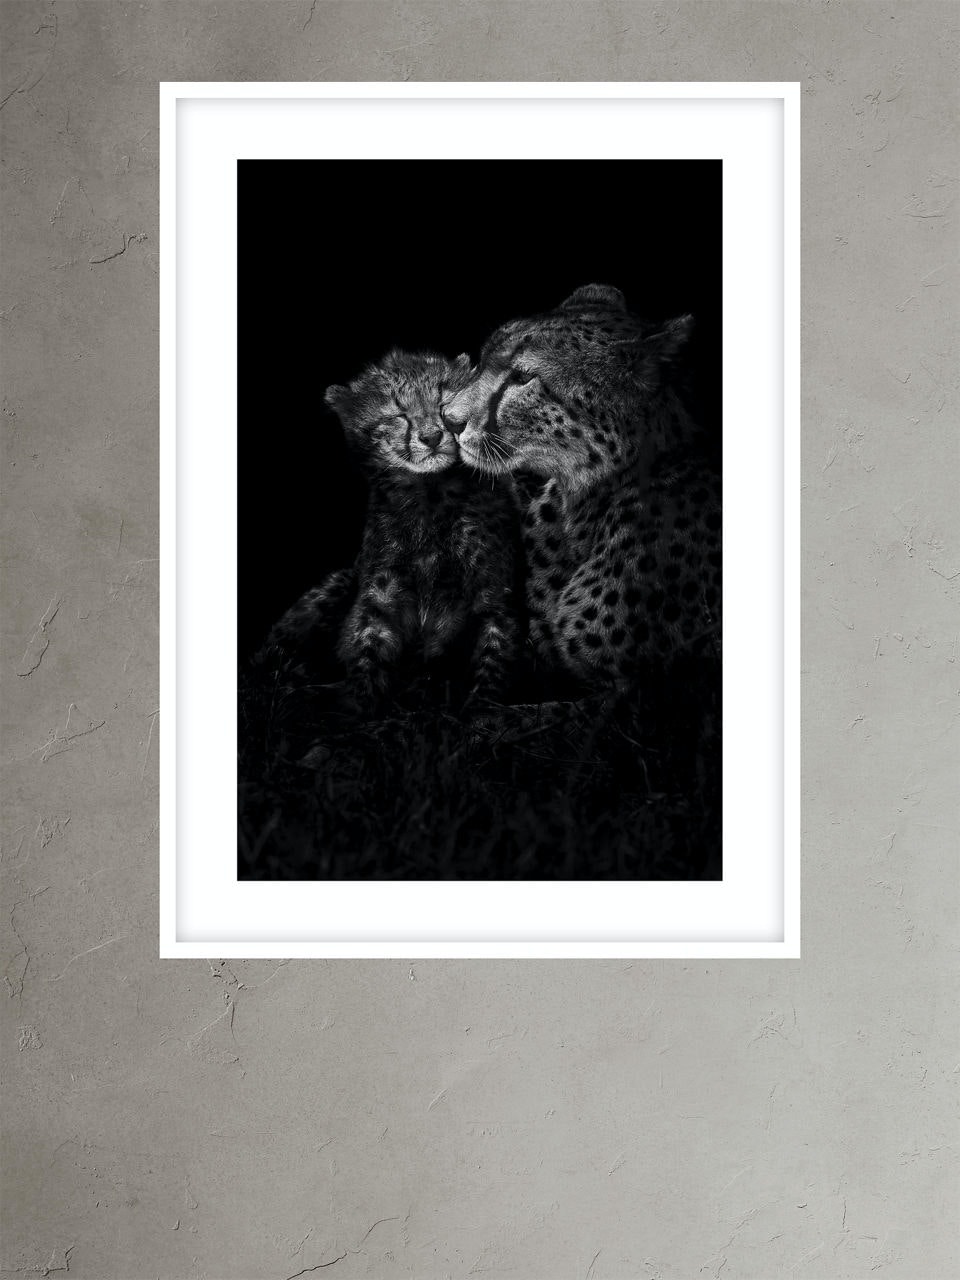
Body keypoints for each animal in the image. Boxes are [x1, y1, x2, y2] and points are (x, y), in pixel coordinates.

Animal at [258, 349, 522, 711]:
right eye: (399, 414)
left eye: (445, 404)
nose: (432, 437)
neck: (429, 497)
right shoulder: (380, 595)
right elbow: (367, 647)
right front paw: (360, 706)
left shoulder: (492, 593)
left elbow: (492, 657)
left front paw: (482, 706)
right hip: (339, 582)